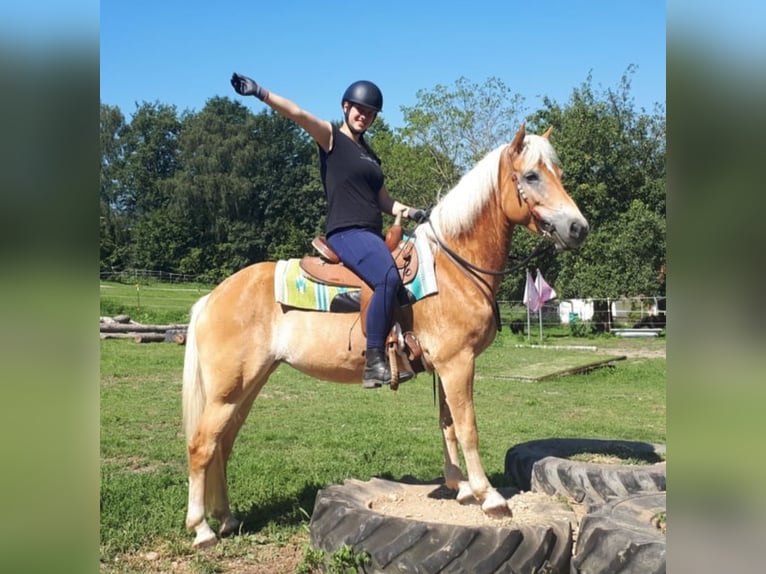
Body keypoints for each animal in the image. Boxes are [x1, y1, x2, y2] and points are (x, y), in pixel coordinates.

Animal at [183, 124, 592, 552]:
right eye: (531, 176)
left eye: (559, 173)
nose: (578, 228)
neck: (454, 267)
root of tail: (212, 297)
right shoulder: (458, 362)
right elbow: (468, 427)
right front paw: (488, 496)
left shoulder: (444, 366)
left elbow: (447, 424)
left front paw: (459, 487)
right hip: (228, 391)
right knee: (201, 446)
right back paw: (202, 529)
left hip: (247, 386)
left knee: (223, 445)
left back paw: (227, 519)